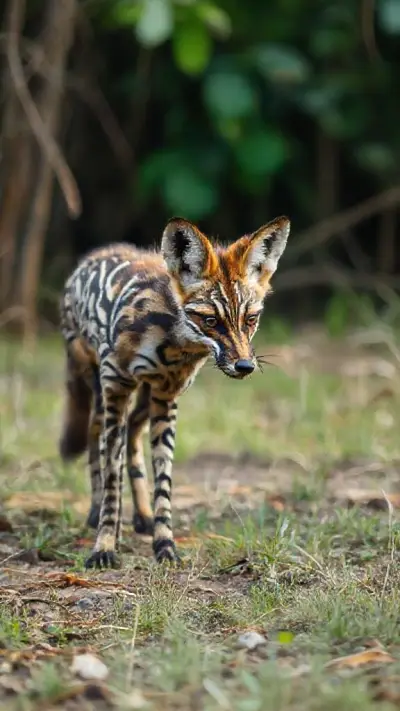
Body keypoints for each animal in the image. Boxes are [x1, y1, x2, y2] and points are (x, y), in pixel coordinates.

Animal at [58, 215, 290, 569]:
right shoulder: (117, 387)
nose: (245, 366)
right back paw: (98, 514)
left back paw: (141, 516)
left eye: (251, 319)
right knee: (96, 441)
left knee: (133, 439)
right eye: (210, 321)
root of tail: (95, 255)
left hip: (144, 401)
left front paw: (164, 545)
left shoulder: (166, 398)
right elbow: (112, 479)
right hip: (100, 391)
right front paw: (104, 546)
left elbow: (163, 484)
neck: (171, 346)